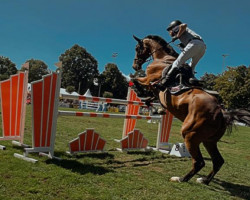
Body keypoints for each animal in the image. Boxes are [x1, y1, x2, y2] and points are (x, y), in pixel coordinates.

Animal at [131, 34, 250, 184]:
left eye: (137, 48)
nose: (135, 65)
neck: (162, 58)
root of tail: (222, 112)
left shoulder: (149, 80)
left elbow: (135, 79)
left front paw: (140, 91)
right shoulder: (155, 89)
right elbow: (150, 97)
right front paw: (156, 108)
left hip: (190, 135)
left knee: (199, 162)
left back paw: (181, 178)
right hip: (209, 141)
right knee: (218, 161)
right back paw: (204, 180)